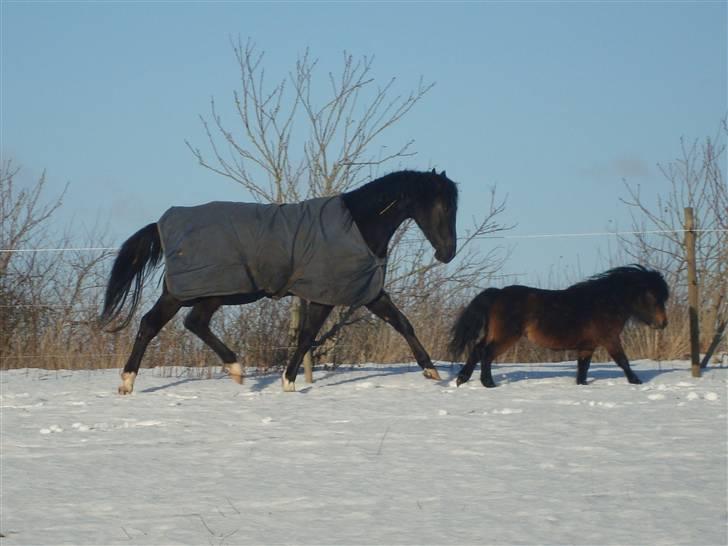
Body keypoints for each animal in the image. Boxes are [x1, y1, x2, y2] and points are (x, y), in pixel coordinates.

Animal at [100, 168, 458, 394]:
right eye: (443, 207)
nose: (447, 253)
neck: (358, 223)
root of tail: (162, 225)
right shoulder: (324, 294)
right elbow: (307, 337)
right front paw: (289, 382)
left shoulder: (367, 291)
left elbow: (402, 322)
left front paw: (432, 371)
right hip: (207, 291)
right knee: (183, 323)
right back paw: (231, 369)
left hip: (195, 292)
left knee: (160, 324)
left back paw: (130, 383)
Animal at [450, 264, 672, 386]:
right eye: (653, 297)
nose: (663, 323)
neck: (603, 303)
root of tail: (498, 293)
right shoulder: (610, 339)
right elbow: (623, 361)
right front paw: (636, 381)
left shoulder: (587, 347)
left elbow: (582, 370)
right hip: (506, 336)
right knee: (486, 353)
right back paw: (488, 384)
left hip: (494, 333)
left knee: (477, 349)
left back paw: (462, 379)